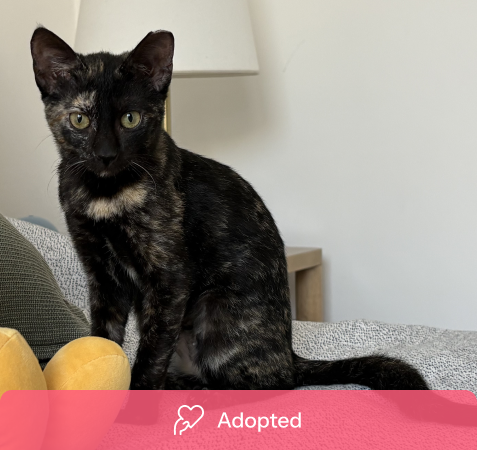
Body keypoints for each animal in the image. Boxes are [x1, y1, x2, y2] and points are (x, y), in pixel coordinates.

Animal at [30, 26, 428, 391]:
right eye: (80, 119)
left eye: (131, 119)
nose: (105, 154)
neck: (105, 193)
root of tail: (289, 354)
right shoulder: (101, 274)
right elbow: (104, 339)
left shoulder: (170, 278)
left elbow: (151, 353)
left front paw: (135, 399)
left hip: (217, 313)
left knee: (260, 383)